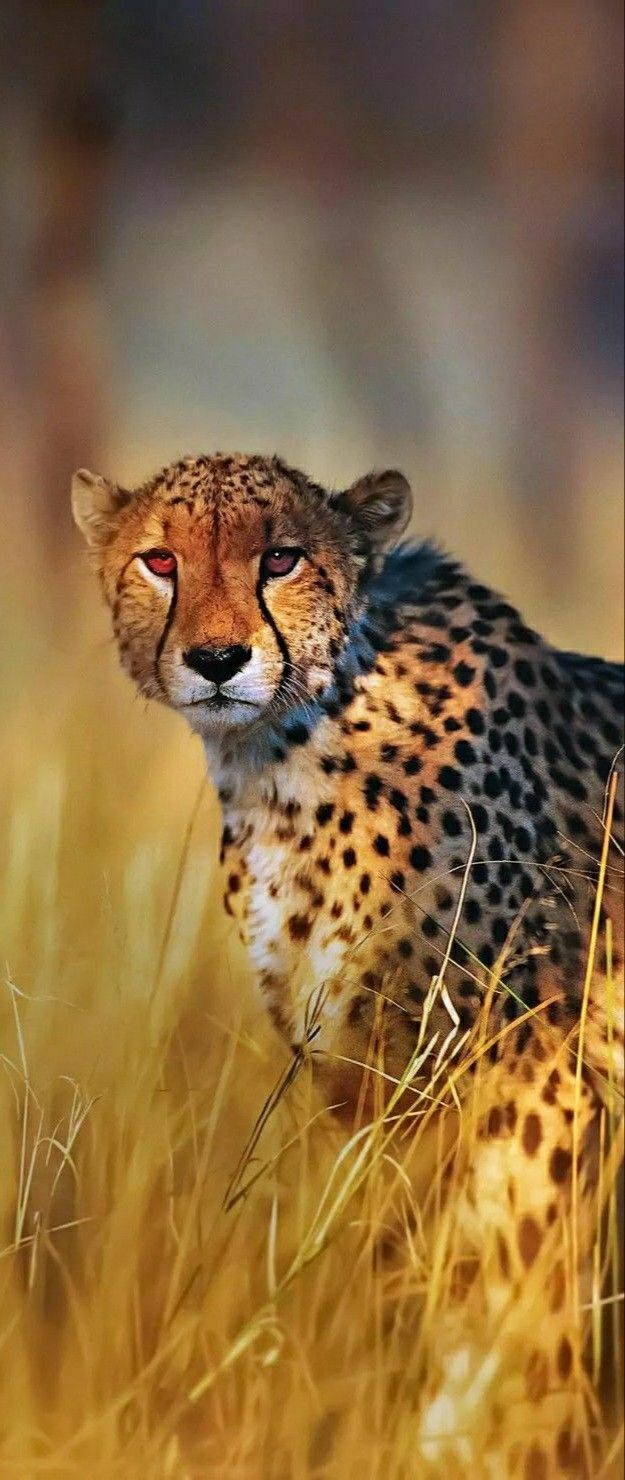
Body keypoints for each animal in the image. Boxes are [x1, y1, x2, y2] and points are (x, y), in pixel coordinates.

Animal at [72, 453, 624, 1477]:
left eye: (281, 558)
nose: (217, 660)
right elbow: (418, 1273)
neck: (289, 753)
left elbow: (517, 1285)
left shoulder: (527, 1070)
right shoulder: (364, 1084)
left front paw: (511, 1436)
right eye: (159, 560)